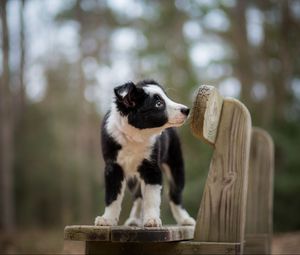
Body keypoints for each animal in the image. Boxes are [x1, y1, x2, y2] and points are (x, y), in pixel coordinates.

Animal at [95, 79, 196, 227]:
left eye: (167, 98)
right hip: (133, 178)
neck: (135, 136)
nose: (187, 110)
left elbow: (151, 197)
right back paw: (134, 219)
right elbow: (112, 195)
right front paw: (107, 219)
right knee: (138, 197)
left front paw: (152, 219)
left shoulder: (152, 167)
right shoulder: (113, 167)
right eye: (158, 104)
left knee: (175, 194)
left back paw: (184, 219)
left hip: (175, 163)